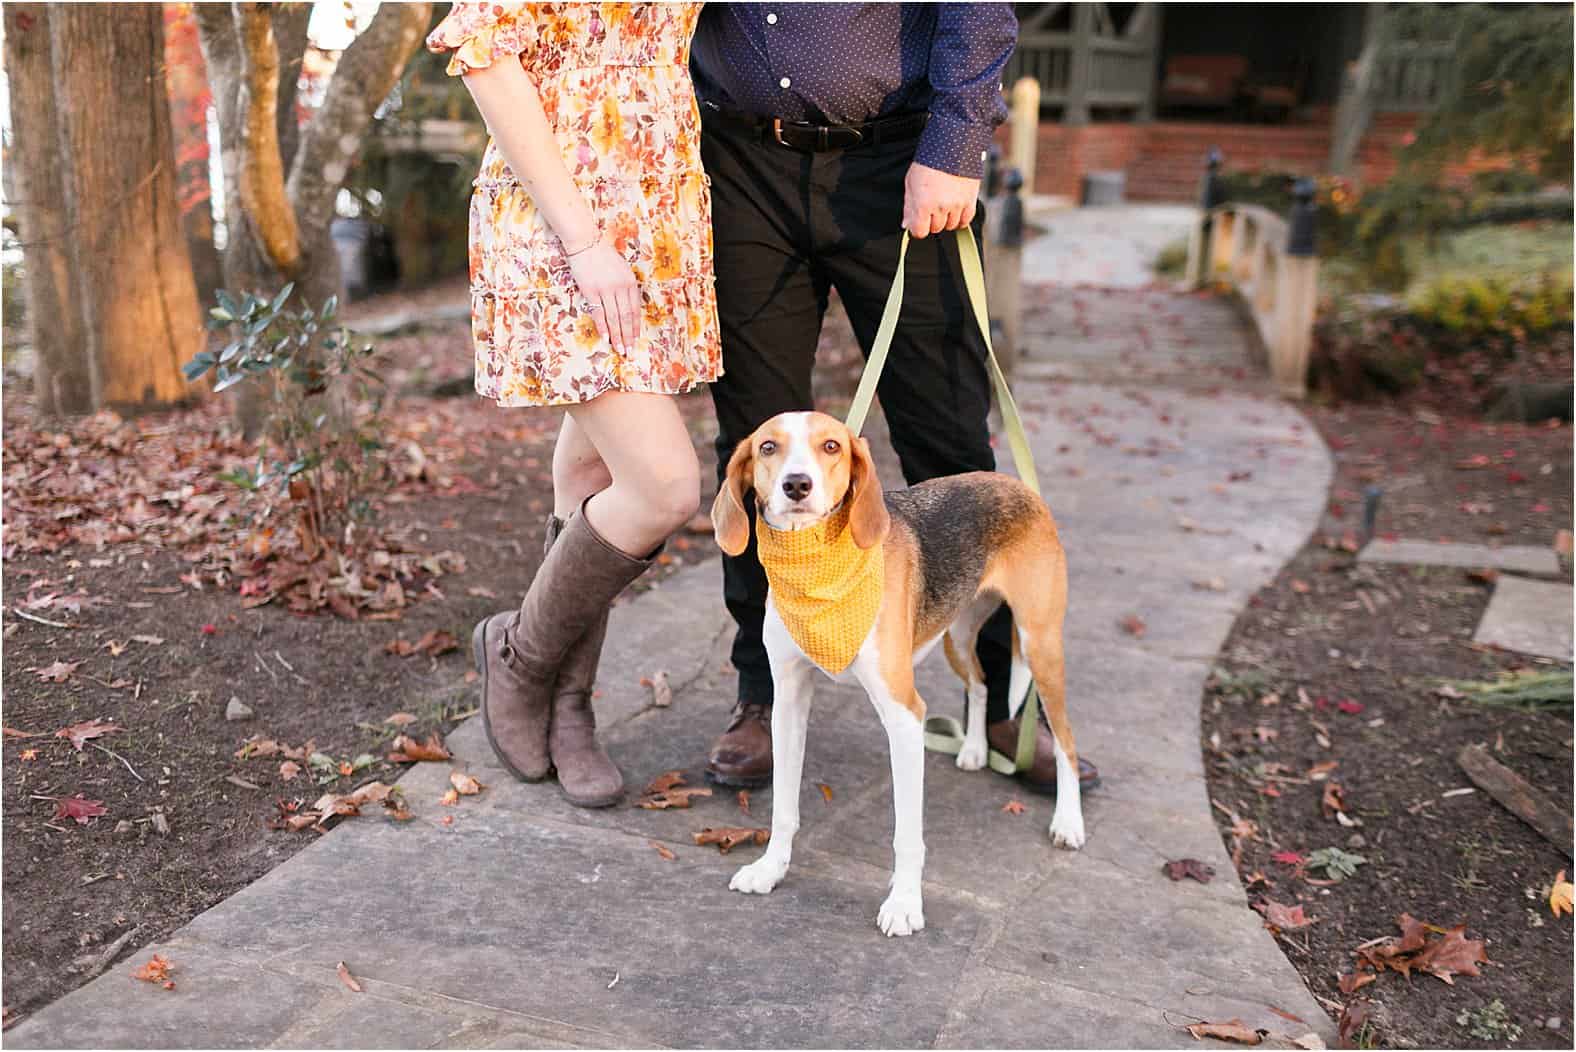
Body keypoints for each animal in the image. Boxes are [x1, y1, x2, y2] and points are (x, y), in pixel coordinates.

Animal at [715, 409, 1084, 938]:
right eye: (768, 447)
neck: (820, 570)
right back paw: (974, 749)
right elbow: (783, 806)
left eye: (831, 446)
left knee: (1067, 742)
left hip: (1041, 646)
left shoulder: (905, 714)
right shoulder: (788, 700)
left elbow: (907, 833)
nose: (797, 485)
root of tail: (1017, 485)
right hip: (958, 634)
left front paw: (905, 904)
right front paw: (770, 869)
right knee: (980, 683)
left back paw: (1069, 821)